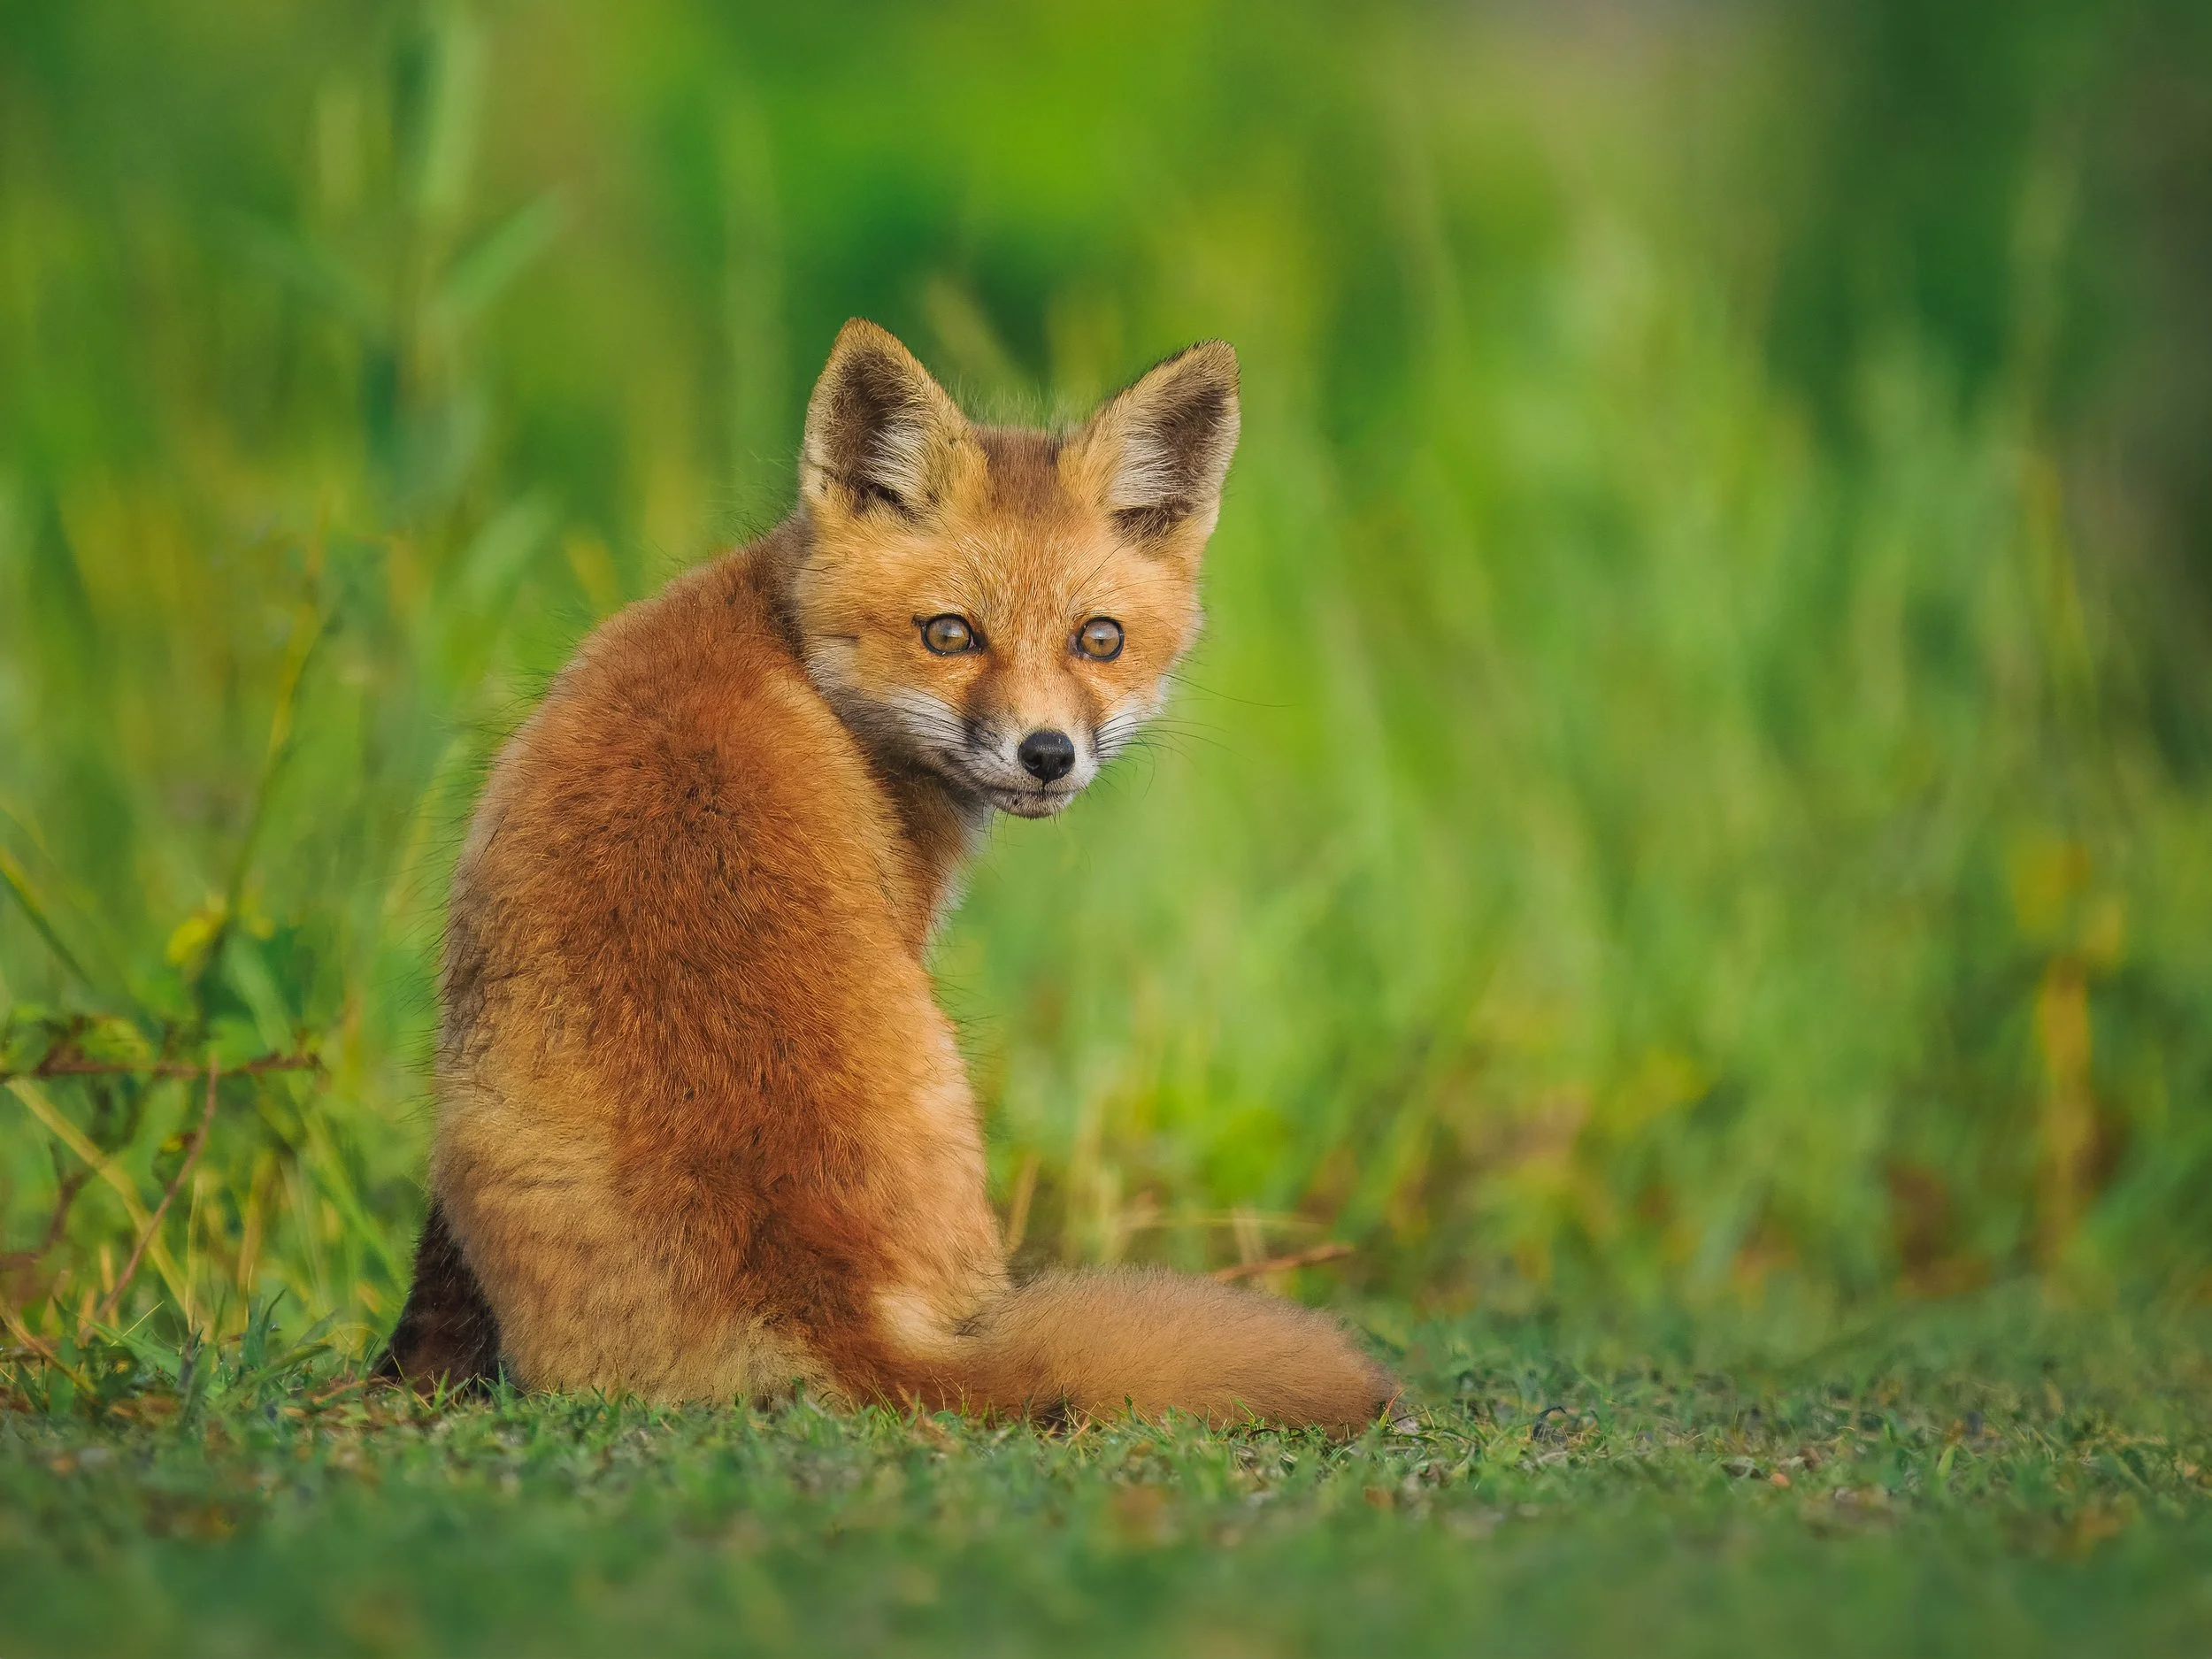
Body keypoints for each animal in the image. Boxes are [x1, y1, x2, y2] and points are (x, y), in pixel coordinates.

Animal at [375, 319, 1395, 1431]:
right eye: (950, 634)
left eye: (1098, 640)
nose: (1047, 755)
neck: (786, 637)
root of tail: (826, 1299)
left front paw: (406, 1378)